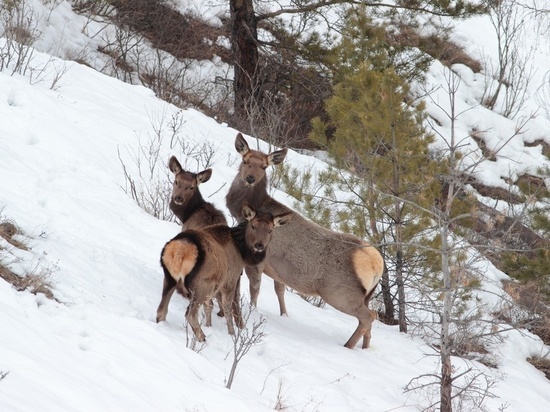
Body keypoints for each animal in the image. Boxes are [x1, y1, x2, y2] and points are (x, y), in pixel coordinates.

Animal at [156, 203, 294, 342]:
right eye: (253, 225)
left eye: (270, 230)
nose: (259, 245)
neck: (242, 253)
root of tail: (179, 251)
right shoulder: (230, 280)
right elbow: (228, 308)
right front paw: (232, 333)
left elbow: (209, 307)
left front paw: (209, 325)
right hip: (201, 284)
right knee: (190, 314)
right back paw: (203, 338)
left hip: (170, 278)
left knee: (161, 311)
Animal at [226, 134, 386, 350]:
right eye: (245, 160)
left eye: (264, 166)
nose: (250, 178)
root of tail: (376, 263)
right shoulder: (278, 271)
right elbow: (279, 291)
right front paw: (284, 315)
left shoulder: (258, 261)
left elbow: (255, 290)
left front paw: (253, 312)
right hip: (365, 296)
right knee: (369, 320)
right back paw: (365, 348)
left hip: (338, 293)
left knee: (369, 316)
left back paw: (347, 346)